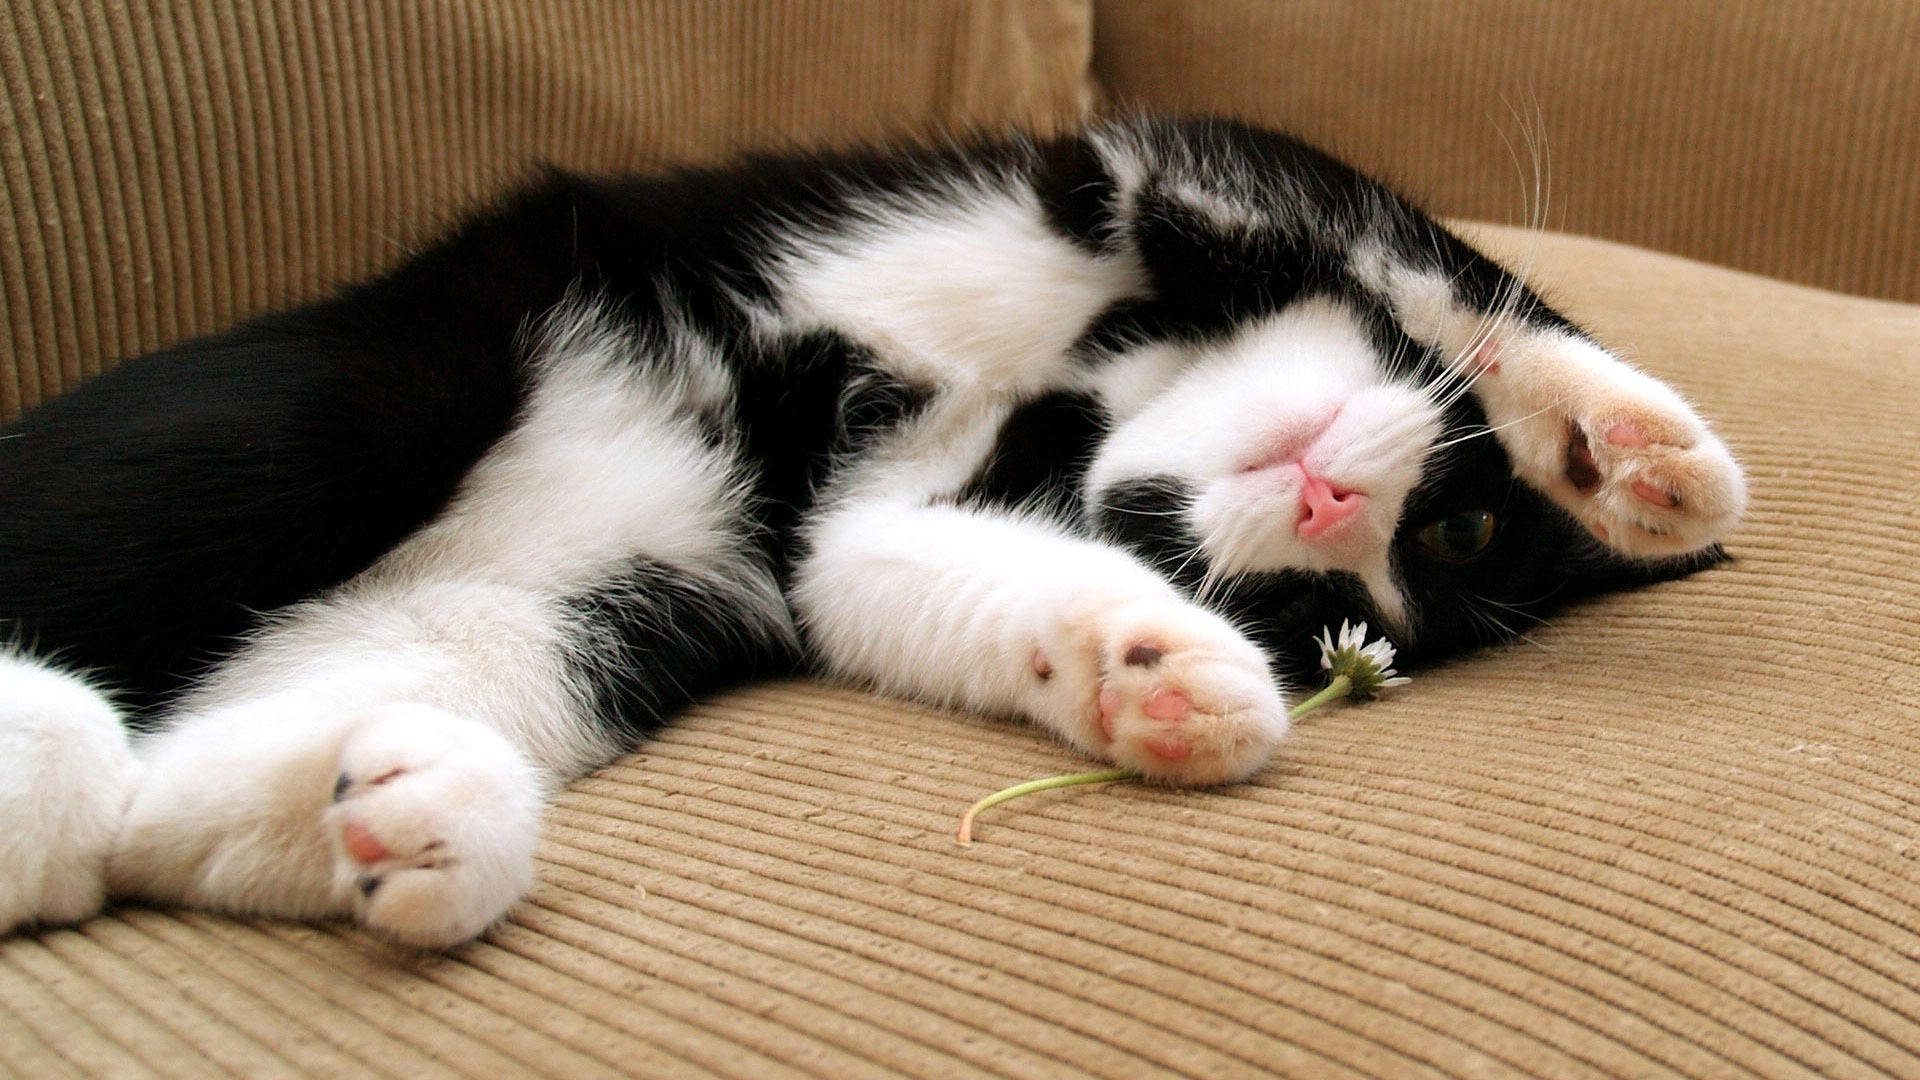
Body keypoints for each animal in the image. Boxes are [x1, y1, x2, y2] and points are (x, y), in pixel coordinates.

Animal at [0, 115, 1743, 941]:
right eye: (1455, 535)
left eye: (1349, 610)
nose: (1332, 500)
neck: (1078, 393)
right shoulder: (1134, 173)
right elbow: (1422, 258)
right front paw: (1634, 454)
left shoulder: (834, 546)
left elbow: (909, 580)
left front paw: (1155, 673)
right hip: (352, 403)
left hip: (577, 610)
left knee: (146, 810)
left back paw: (400, 813)